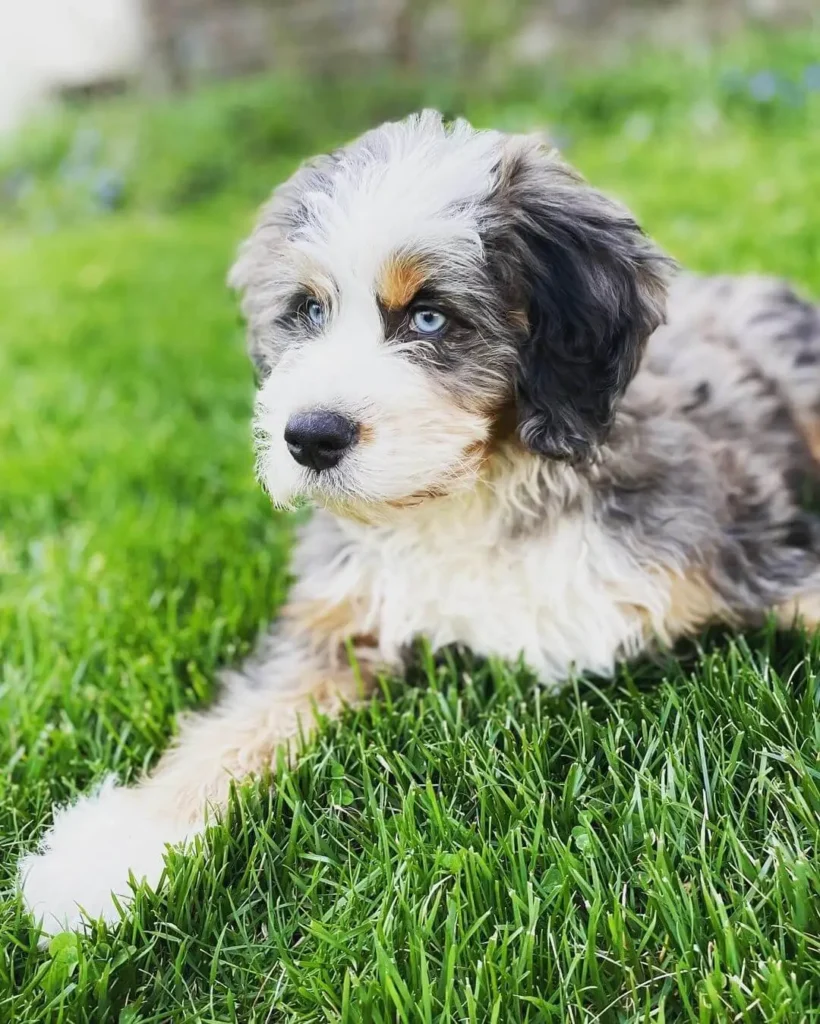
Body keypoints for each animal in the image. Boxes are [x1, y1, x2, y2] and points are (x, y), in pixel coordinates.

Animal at [17, 112, 818, 937]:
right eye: (309, 311)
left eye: (430, 316)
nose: (309, 438)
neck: (471, 497)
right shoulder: (337, 620)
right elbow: (239, 721)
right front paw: (110, 853)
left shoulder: (743, 547)